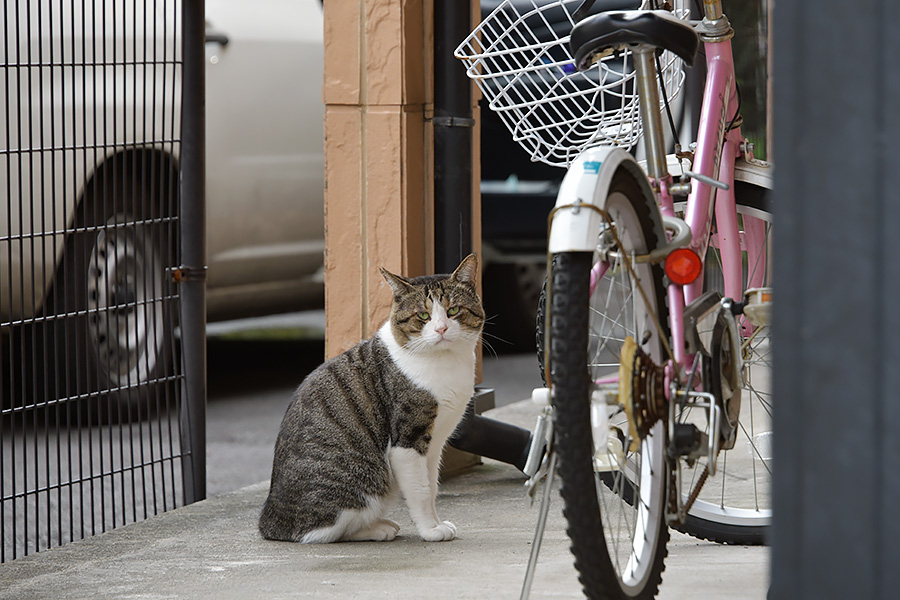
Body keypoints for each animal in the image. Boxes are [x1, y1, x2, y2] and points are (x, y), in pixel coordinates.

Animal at [258, 253, 486, 544]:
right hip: (363, 481)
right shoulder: (407, 440)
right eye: (423, 316)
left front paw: (436, 522)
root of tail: (270, 521)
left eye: (453, 311)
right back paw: (375, 529)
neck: (445, 363)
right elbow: (421, 491)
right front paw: (430, 530)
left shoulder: (435, 444)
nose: (442, 329)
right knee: (324, 532)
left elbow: (432, 485)